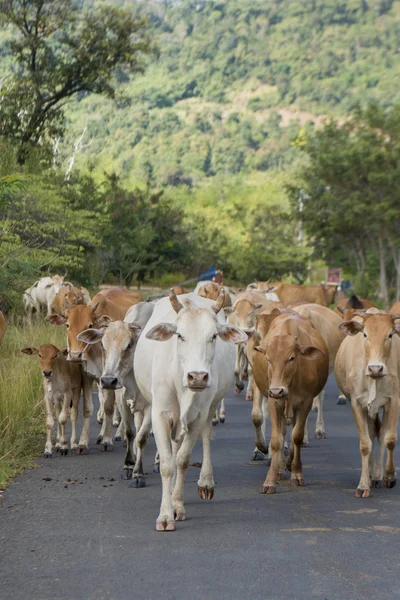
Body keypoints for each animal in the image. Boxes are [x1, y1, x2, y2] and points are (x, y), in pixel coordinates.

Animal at [46, 288, 142, 452]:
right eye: (67, 325)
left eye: (89, 325)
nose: (75, 355)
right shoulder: (88, 377)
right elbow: (88, 408)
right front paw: (83, 442)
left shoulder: (111, 379)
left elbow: (109, 407)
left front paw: (107, 440)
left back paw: (120, 435)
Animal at [134, 290, 247, 528]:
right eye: (179, 335)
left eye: (213, 336)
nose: (197, 377)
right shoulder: (159, 414)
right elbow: (167, 464)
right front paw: (165, 514)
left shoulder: (198, 416)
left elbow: (183, 460)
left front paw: (177, 506)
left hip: (210, 406)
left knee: (205, 436)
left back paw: (205, 482)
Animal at [253, 310, 328, 492]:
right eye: (268, 358)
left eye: (292, 358)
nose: (276, 390)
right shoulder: (274, 402)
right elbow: (276, 440)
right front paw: (270, 480)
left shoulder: (306, 402)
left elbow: (297, 437)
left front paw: (297, 474)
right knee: (281, 432)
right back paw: (280, 468)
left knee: (293, 433)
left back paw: (288, 465)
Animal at [334, 310, 400, 496]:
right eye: (365, 334)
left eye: (390, 334)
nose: (375, 368)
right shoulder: (357, 404)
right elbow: (365, 444)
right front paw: (363, 485)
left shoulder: (394, 401)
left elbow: (389, 439)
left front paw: (389, 476)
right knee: (371, 434)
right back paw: (370, 475)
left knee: (381, 434)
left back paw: (377, 476)